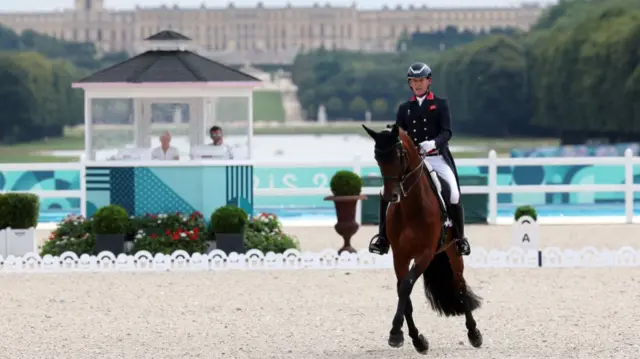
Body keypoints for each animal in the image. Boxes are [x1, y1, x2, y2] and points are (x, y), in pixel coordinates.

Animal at [362, 124, 482, 354]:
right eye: (377, 157)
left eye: (398, 156)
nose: (391, 196)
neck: (411, 206)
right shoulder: (400, 256)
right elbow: (403, 292)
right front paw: (415, 339)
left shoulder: (424, 254)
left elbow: (406, 287)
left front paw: (396, 333)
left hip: (453, 251)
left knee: (460, 286)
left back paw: (474, 334)